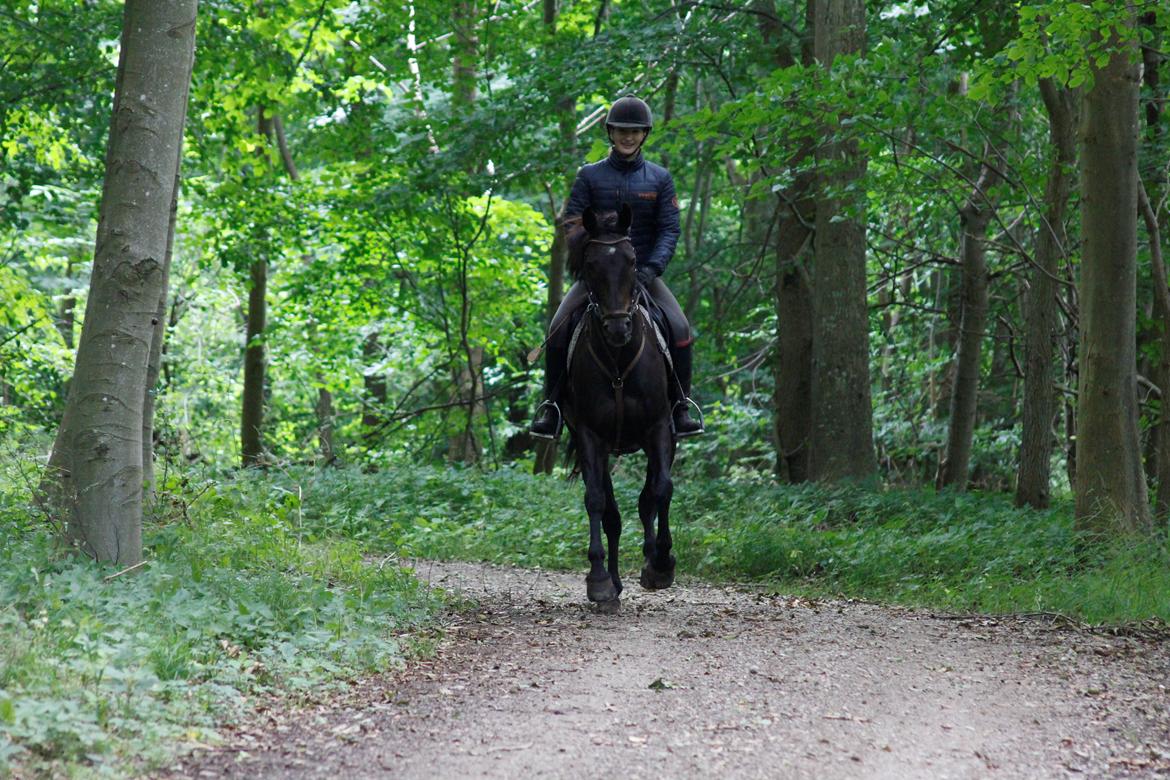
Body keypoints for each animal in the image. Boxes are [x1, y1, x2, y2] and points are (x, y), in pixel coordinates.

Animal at [559, 205, 678, 608]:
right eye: (591, 264)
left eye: (632, 261)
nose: (617, 328)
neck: (618, 362)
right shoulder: (590, 436)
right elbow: (597, 502)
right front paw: (598, 579)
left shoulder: (660, 428)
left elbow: (660, 490)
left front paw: (660, 563)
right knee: (611, 514)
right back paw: (611, 583)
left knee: (650, 498)